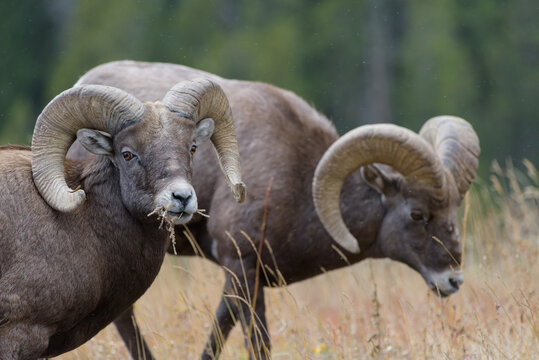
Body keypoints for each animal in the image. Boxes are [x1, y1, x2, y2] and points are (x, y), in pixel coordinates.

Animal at [77, 60, 480, 358]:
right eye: (417, 214)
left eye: (454, 209)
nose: (454, 280)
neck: (299, 182)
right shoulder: (241, 267)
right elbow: (254, 342)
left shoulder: (245, 277)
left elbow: (222, 332)